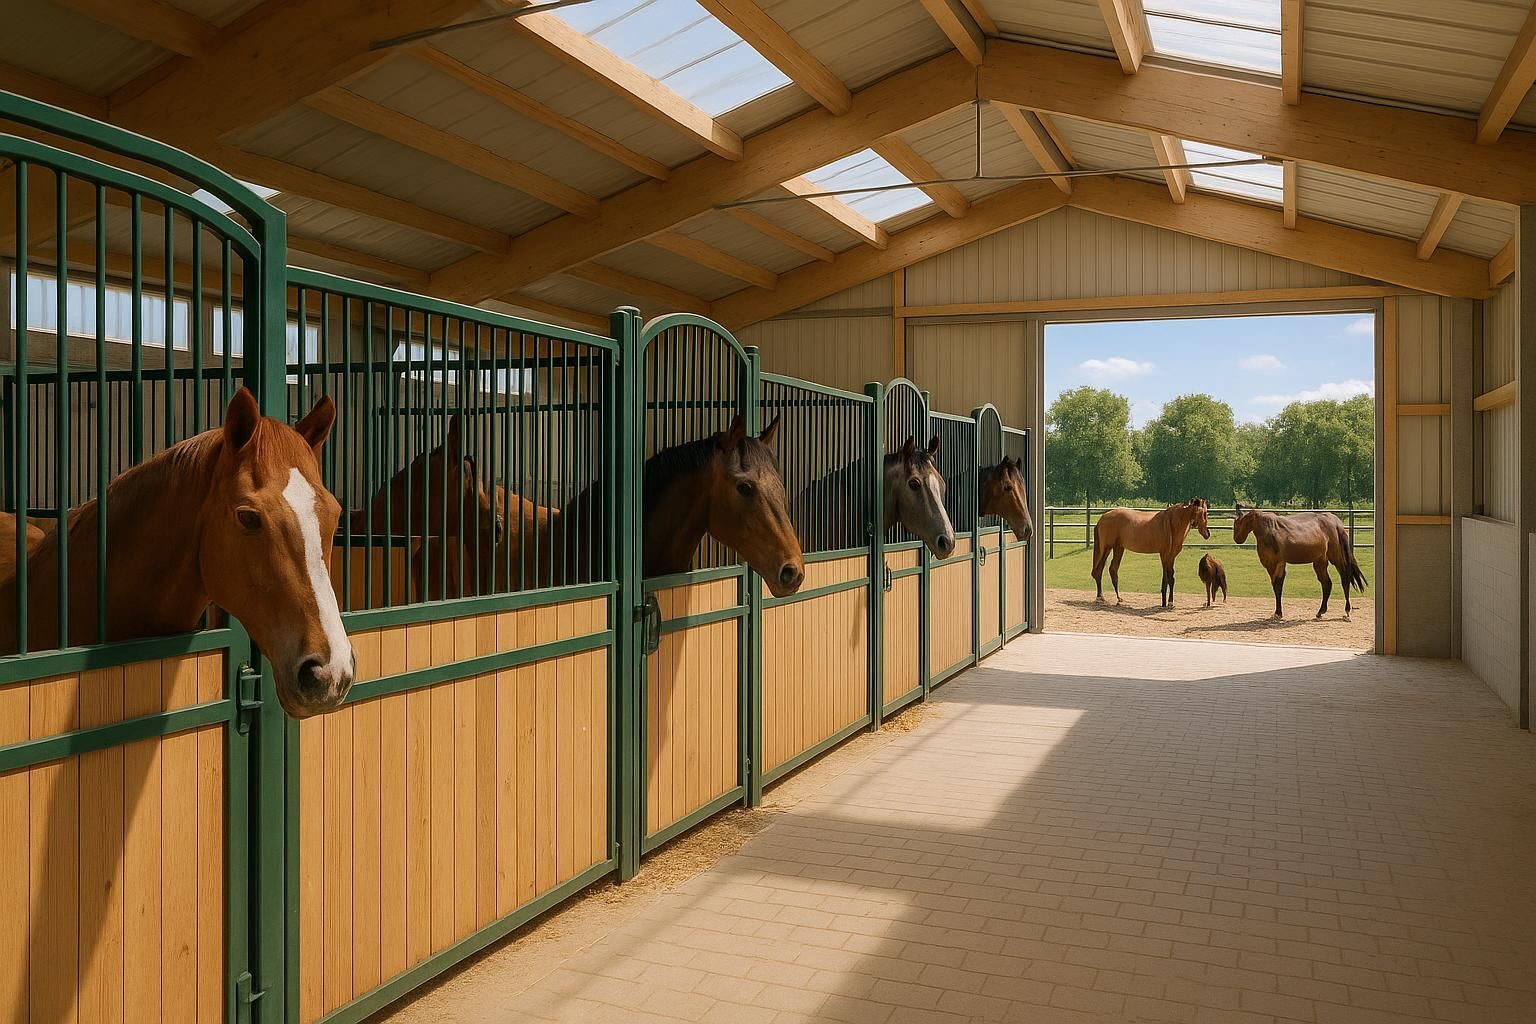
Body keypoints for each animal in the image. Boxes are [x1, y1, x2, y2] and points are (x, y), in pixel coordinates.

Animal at [1232, 504, 1367, 620]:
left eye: (1239, 520)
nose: (1237, 538)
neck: (1269, 530)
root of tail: (1336, 522)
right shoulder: (1270, 565)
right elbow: (1276, 587)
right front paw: (1277, 613)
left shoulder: (1278, 563)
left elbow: (1278, 585)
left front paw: (1278, 613)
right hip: (1320, 561)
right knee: (1326, 583)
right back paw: (1320, 612)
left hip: (1336, 558)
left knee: (1345, 579)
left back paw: (1347, 611)